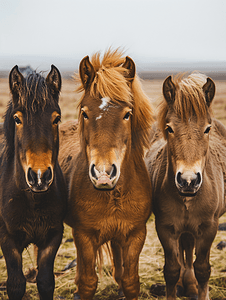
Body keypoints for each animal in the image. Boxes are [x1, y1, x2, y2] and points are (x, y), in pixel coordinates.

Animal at [0, 64, 67, 298]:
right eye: (17, 119)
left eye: (56, 118)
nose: (39, 176)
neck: (32, 199)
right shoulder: (8, 240)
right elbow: (16, 284)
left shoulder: (52, 237)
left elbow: (45, 282)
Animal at [58, 49, 154, 300]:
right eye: (84, 113)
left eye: (128, 114)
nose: (103, 174)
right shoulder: (84, 235)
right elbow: (87, 282)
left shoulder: (135, 234)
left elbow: (130, 281)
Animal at [145, 72, 226, 300]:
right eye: (169, 128)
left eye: (207, 129)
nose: (188, 180)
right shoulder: (165, 227)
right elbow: (171, 270)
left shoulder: (209, 227)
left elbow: (203, 269)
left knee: (188, 248)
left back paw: (190, 285)